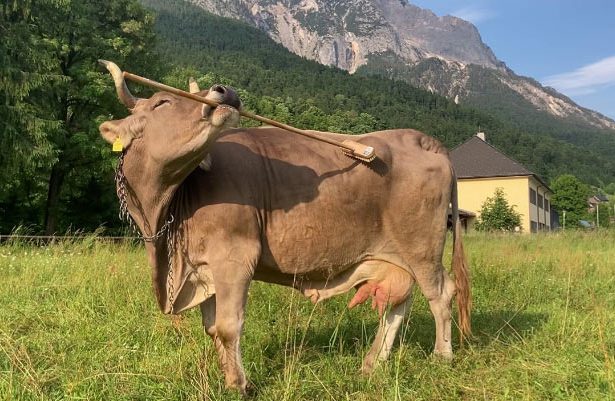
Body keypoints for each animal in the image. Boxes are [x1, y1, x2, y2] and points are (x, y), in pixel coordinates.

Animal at [98, 61, 471, 396]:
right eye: (162, 102)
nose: (224, 90)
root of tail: (420, 138)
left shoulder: (234, 258)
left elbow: (229, 326)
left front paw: (239, 385)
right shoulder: (202, 268)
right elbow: (212, 328)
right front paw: (228, 378)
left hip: (422, 247)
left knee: (441, 294)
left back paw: (441, 357)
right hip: (395, 256)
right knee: (399, 303)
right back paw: (371, 363)